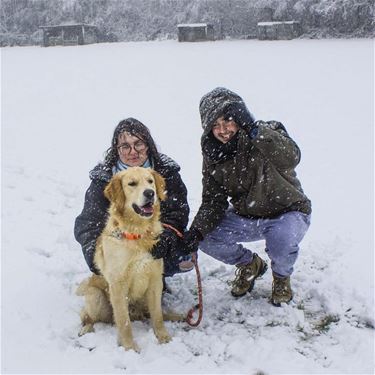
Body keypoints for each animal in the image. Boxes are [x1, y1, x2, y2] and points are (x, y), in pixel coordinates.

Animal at [78, 167, 175, 352]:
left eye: (150, 181)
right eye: (132, 183)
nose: (150, 193)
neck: (138, 233)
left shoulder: (155, 280)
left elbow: (158, 315)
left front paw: (163, 337)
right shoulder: (118, 284)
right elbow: (124, 322)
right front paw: (130, 347)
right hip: (95, 296)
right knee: (88, 317)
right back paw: (86, 329)